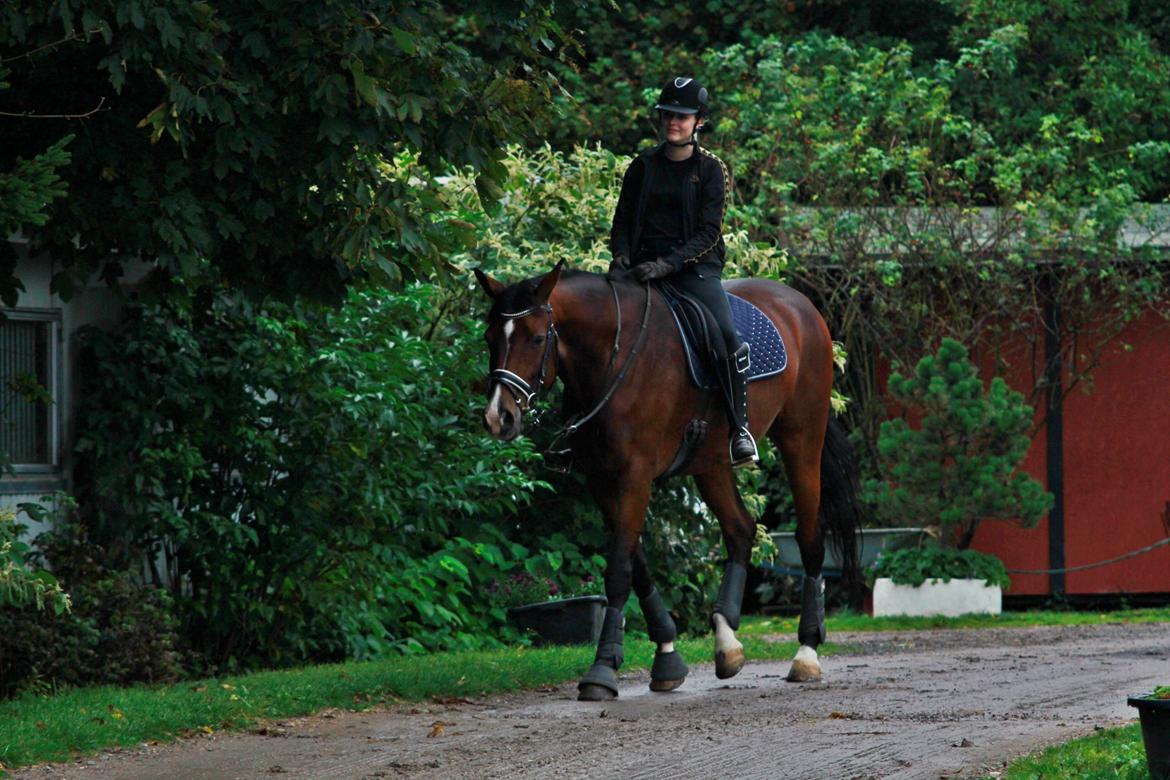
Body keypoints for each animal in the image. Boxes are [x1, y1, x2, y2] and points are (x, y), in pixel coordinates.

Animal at [475, 261, 861, 701]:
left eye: (537, 338)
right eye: (489, 337)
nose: (498, 417)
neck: (614, 355)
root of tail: (800, 304)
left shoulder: (634, 476)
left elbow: (619, 570)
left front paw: (602, 669)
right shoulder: (602, 480)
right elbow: (637, 565)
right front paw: (667, 657)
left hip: (801, 438)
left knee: (809, 538)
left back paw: (806, 653)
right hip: (711, 461)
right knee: (740, 530)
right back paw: (727, 644)